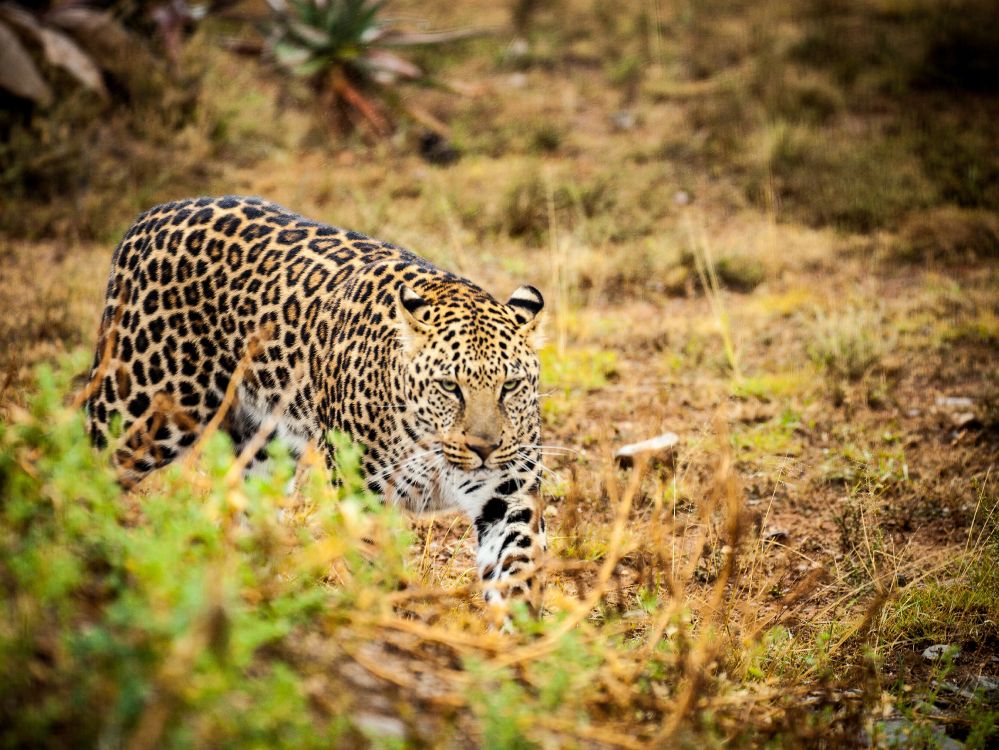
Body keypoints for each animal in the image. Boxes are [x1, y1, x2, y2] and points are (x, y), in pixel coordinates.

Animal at [85, 195, 548, 614]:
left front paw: (518, 635)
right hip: (141, 405)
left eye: (510, 385)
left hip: (265, 444)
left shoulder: (508, 493)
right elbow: (373, 565)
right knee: (90, 463)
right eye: (450, 387)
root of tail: (152, 215)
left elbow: (517, 564)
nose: (484, 448)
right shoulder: (363, 492)